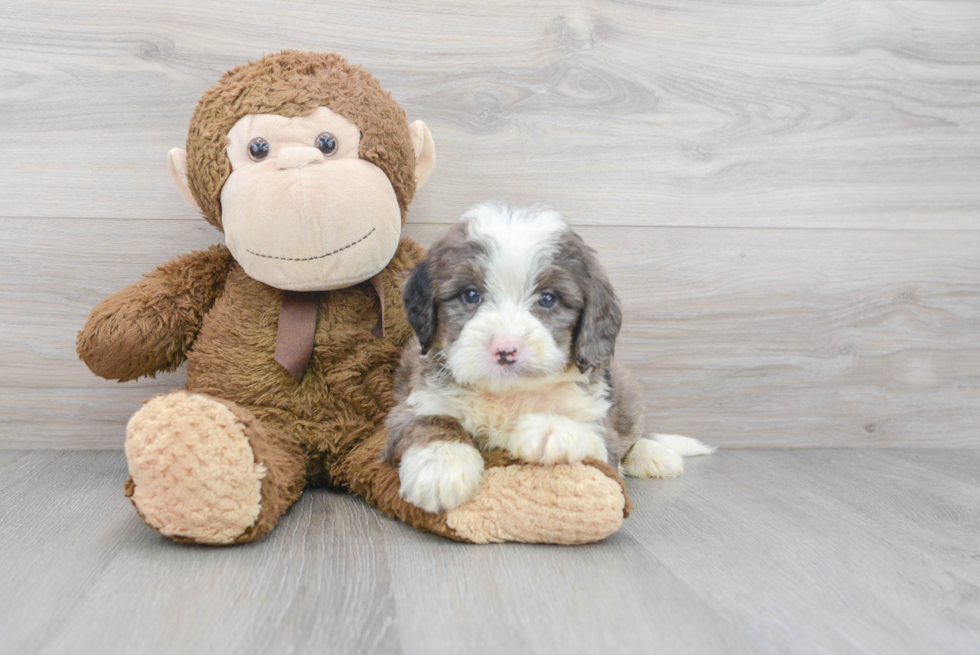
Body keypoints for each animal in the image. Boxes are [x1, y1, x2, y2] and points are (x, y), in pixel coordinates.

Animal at [382, 204, 712, 512]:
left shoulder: (600, 429)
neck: (508, 396)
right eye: (470, 295)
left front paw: (550, 429)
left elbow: (595, 436)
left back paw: (655, 455)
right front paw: (441, 466)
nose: (505, 349)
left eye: (549, 298)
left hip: (626, 388)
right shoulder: (415, 401)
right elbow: (430, 421)